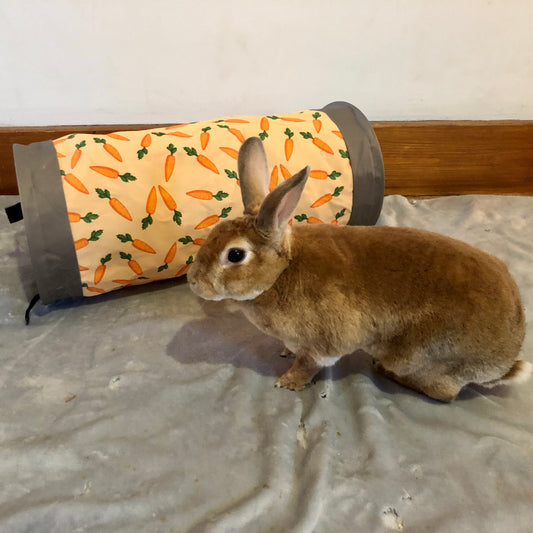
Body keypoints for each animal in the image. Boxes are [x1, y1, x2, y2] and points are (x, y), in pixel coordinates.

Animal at [187, 136, 528, 400]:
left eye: (235, 255)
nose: (193, 281)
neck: (281, 272)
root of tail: (506, 358)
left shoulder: (325, 342)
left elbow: (310, 364)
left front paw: (289, 382)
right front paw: (285, 352)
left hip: (420, 356)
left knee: (445, 394)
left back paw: (387, 373)